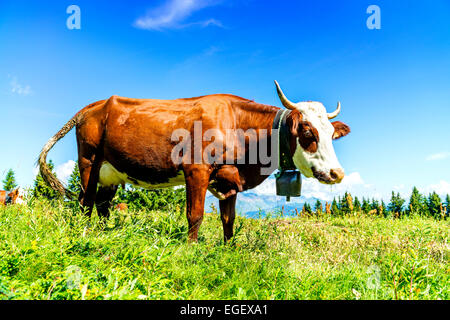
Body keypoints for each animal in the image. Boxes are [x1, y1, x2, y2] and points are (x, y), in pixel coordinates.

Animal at [38, 82, 350, 242]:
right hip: (88, 162)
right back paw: (85, 234)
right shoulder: (196, 170)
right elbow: (195, 214)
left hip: (111, 172)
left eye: (331, 134)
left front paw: (229, 250)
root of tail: (91, 107)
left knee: (103, 205)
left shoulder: (230, 177)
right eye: (308, 132)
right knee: (86, 203)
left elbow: (228, 219)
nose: (337, 173)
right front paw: (190, 248)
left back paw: (105, 234)